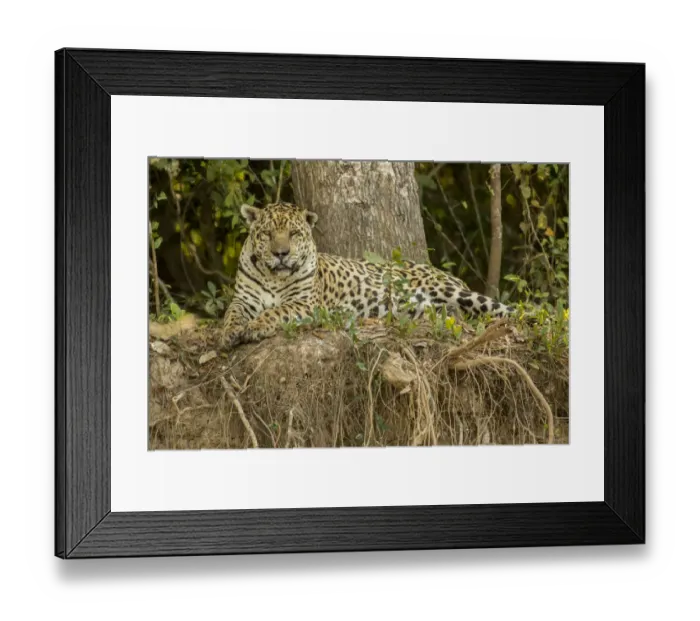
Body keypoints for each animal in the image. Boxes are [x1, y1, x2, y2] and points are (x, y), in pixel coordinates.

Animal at [223, 202, 514, 346]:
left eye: (294, 234)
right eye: (267, 234)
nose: (281, 253)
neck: (274, 276)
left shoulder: (304, 303)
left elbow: (276, 311)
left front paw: (255, 327)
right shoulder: (243, 299)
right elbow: (232, 313)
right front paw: (231, 332)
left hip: (451, 290)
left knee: (503, 309)